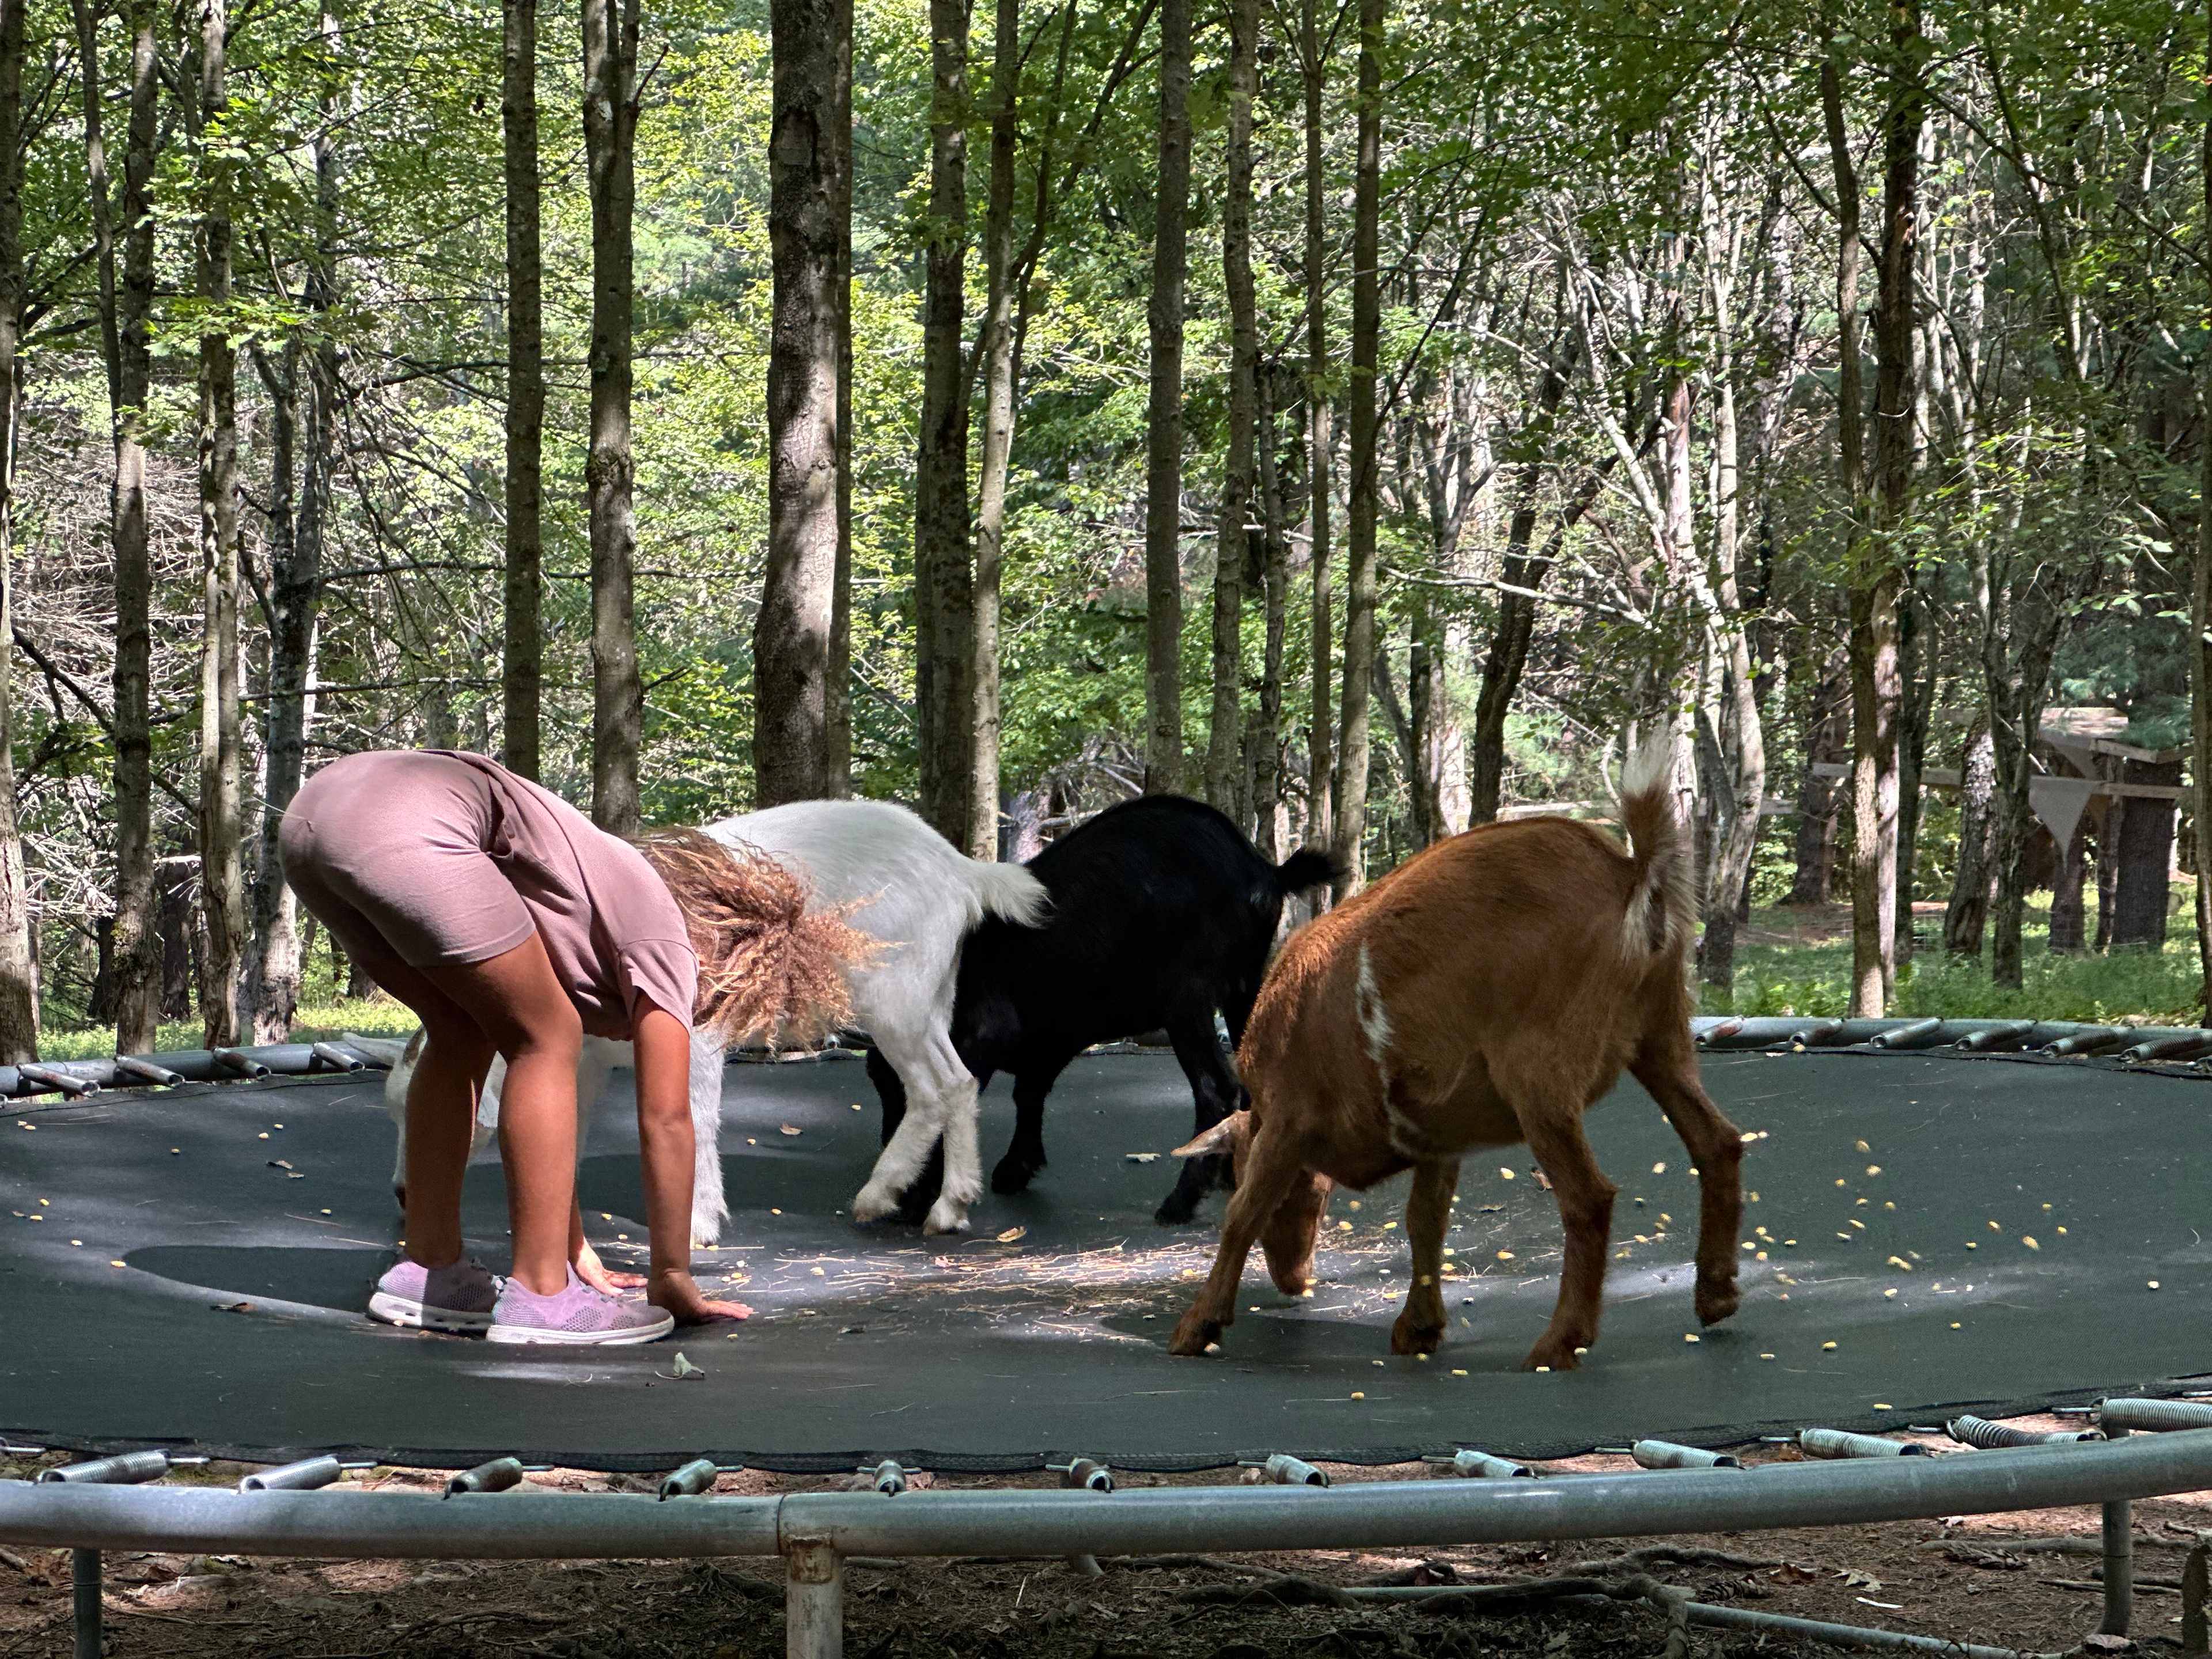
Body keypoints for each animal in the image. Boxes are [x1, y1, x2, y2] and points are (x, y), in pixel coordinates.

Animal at [868, 796, 1338, 1224]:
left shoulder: (989, 1031)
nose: (902, 1196)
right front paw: (1015, 1168)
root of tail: (1263, 872)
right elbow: (1029, 1092)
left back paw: (1180, 1202)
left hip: (1187, 996)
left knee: (1215, 1087)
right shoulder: (1053, 1034)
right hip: (1246, 987)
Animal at [1166, 737, 1743, 1370]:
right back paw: (1716, 1295)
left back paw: (1560, 1342)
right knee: (1717, 1141)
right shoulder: (1436, 1133)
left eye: (1241, 1167)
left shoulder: (1287, 1122)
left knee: (1590, 1197)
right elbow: (1426, 1221)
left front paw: (1196, 1328)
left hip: (1538, 1073)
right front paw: (1418, 1330)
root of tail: (1633, 875)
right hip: (1662, 1033)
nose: (1294, 1280)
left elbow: (1242, 1213)